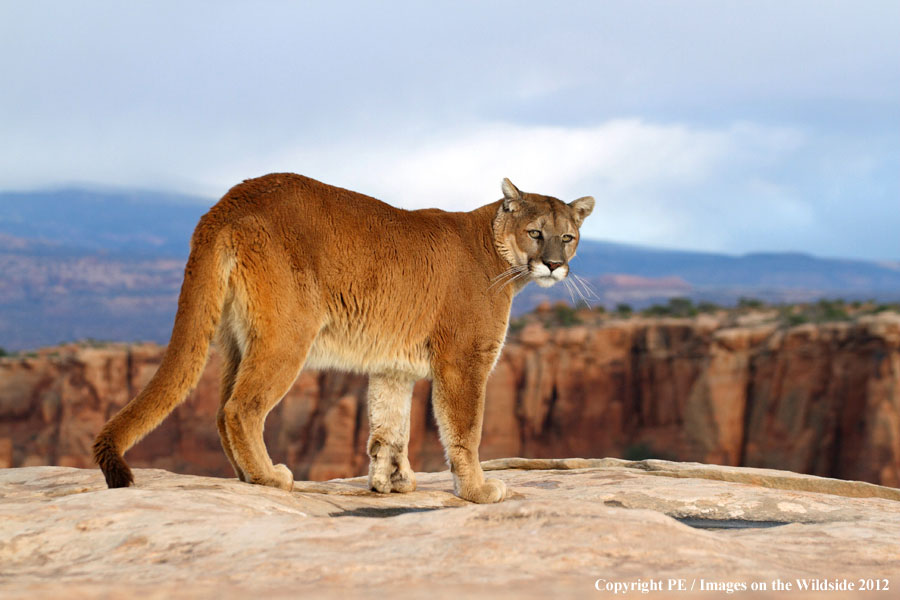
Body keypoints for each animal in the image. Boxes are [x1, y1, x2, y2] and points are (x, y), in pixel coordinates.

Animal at [95, 172, 596, 502]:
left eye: (568, 237)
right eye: (536, 232)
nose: (554, 264)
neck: (496, 251)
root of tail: (231, 198)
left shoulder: (394, 365)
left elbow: (390, 427)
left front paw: (391, 483)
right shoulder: (465, 359)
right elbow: (464, 431)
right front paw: (476, 489)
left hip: (238, 339)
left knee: (220, 410)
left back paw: (245, 476)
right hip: (288, 333)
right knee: (241, 408)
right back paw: (270, 478)